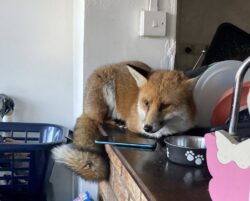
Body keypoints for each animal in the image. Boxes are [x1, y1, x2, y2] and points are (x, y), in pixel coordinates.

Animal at [52, 60, 197, 181]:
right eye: (146, 103)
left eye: (165, 106)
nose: (147, 127)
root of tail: (86, 109)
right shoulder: (135, 125)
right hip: (105, 96)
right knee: (101, 120)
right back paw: (117, 122)